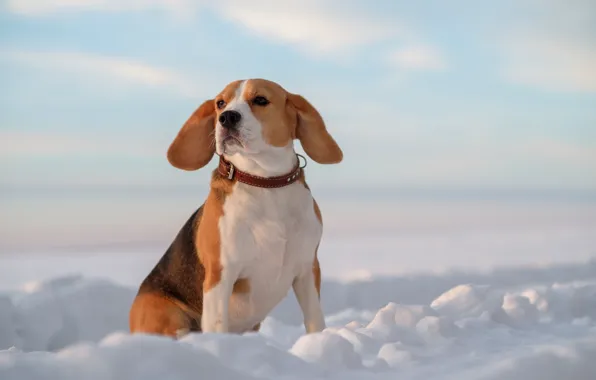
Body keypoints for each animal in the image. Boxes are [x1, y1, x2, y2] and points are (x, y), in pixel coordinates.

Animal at [129, 78, 344, 336]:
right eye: (220, 103)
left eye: (260, 100)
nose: (227, 118)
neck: (265, 182)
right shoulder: (220, 274)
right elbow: (217, 325)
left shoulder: (307, 269)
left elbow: (315, 321)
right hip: (169, 315)